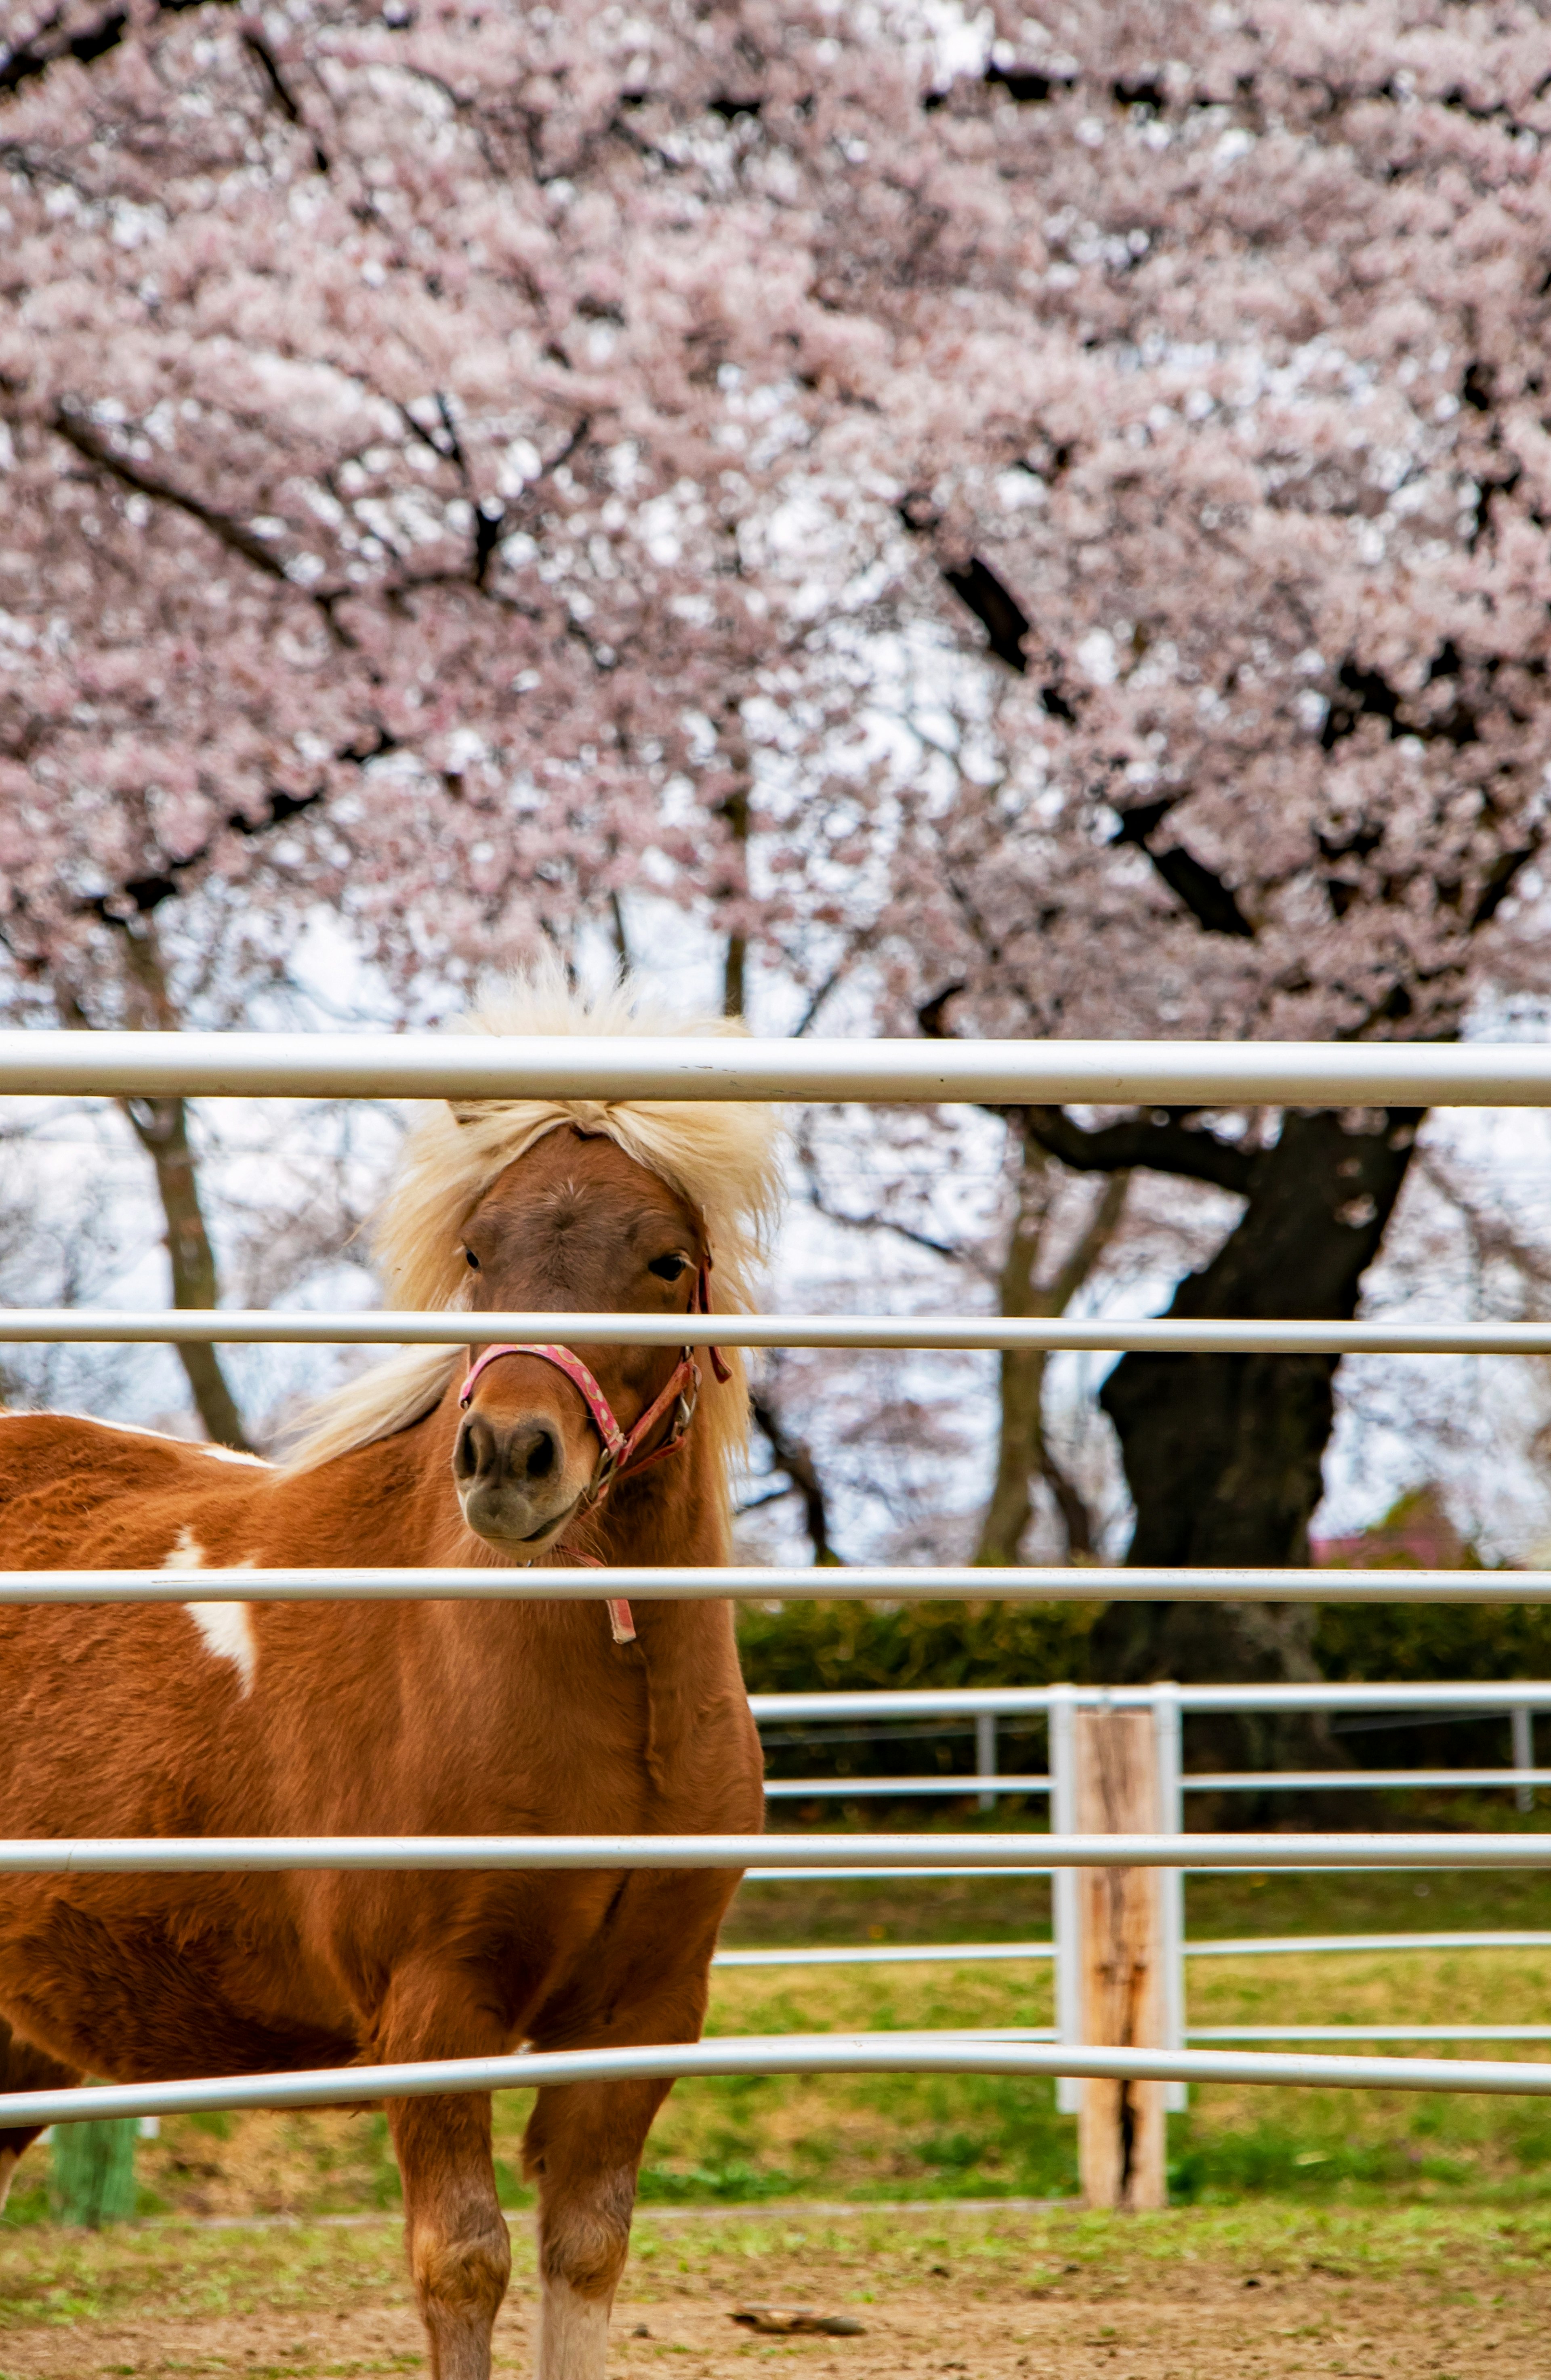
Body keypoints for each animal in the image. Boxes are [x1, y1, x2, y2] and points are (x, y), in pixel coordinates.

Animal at [0, 976, 776, 2370]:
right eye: (477, 1250)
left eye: (666, 1258)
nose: (509, 1454)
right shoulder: (436, 2012)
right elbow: (461, 2260)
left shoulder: (640, 2015)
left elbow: (588, 2251)